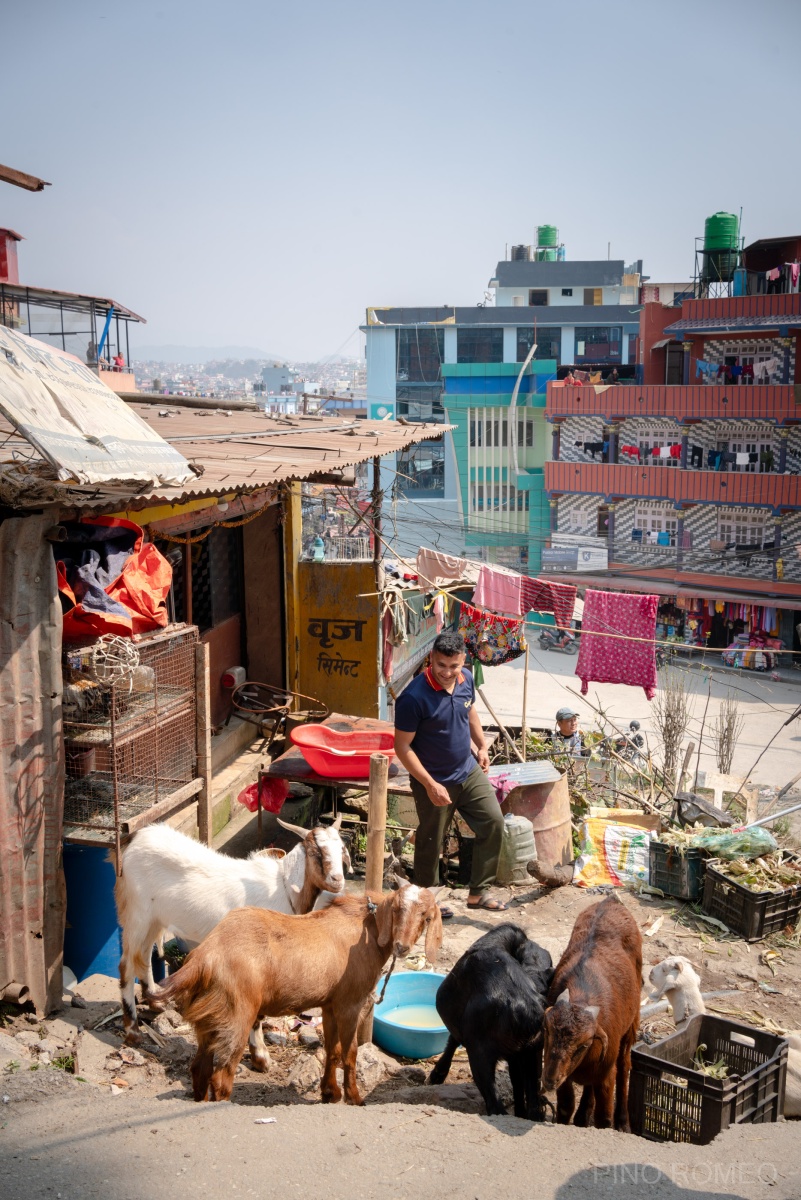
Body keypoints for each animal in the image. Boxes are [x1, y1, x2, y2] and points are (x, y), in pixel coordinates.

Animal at [115, 811, 347, 1046]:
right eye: (315, 851)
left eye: (341, 849)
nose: (337, 880)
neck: (283, 888)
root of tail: (136, 838)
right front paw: (258, 1048)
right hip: (136, 915)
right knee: (126, 965)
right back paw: (133, 1031)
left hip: (154, 919)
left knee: (143, 956)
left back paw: (155, 1003)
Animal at [153, 883, 441, 1104]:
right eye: (396, 909)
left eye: (426, 916)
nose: (402, 947)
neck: (366, 931)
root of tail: (205, 956)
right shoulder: (350, 1002)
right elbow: (350, 1054)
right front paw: (355, 1098)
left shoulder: (330, 1004)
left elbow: (332, 1050)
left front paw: (330, 1093)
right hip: (237, 1013)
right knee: (222, 1075)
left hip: (209, 1015)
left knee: (199, 1068)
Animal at [429, 926, 553, 1113]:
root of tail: (525, 1010)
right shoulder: (521, 1055)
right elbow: (518, 1085)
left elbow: (452, 1041)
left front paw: (437, 1074)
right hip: (531, 1053)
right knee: (532, 1104)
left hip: (480, 1056)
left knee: (494, 1103)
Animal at [541, 897, 642, 1128]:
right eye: (547, 1031)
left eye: (584, 1044)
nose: (549, 1080)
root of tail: (609, 901)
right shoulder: (566, 1075)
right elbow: (566, 1106)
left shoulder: (605, 1073)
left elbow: (604, 1116)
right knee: (588, 1089)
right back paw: (582, 1116)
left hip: (632, 1024)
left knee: (625, 1065)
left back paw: (623, 1122)